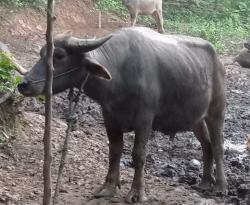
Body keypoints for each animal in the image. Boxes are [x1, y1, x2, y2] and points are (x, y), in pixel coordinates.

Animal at [18, 27, 228, 203]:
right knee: (207, 145)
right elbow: (115, 151)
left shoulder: (145, 120)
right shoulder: (110, 118)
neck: (119, 74)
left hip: (216, 111)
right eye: (41, 53)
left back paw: (220, 186)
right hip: (196, 119)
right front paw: (108, 186)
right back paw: (205, 181)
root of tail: (217, 60)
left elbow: (139, 154)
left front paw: (136, 193)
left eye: (59, 55)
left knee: (218, 146)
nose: (24, 84)